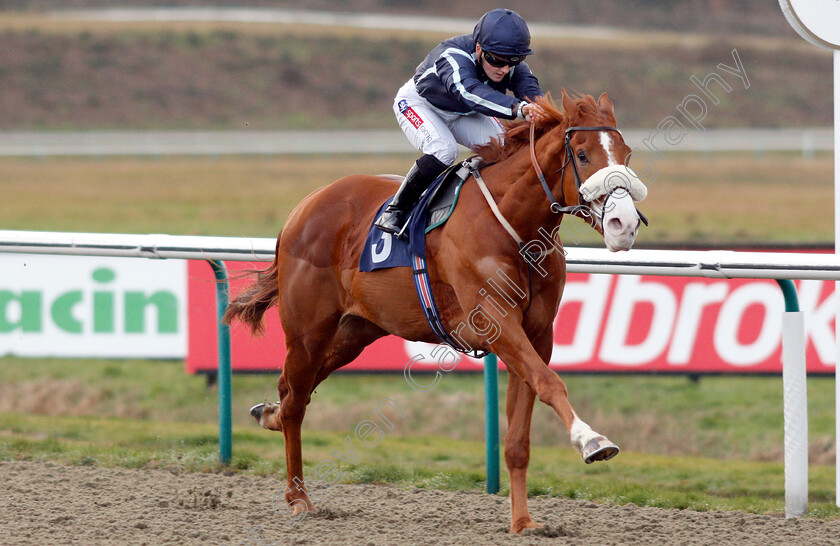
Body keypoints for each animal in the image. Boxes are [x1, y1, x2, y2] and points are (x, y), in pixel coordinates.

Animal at [225, 90, 648, 532]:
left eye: (627, 154)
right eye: (582, 154)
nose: (624, 224)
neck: (515, 223)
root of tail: (304, 207)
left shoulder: (537, 334)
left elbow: (519, 434)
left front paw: (523, 521)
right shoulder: (496, 322)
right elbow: (550, 383)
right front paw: (593, 441)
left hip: (355, 332)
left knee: (294, 391)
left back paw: (268, 415)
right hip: (308, 331)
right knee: (295, 402)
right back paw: (298, 497)